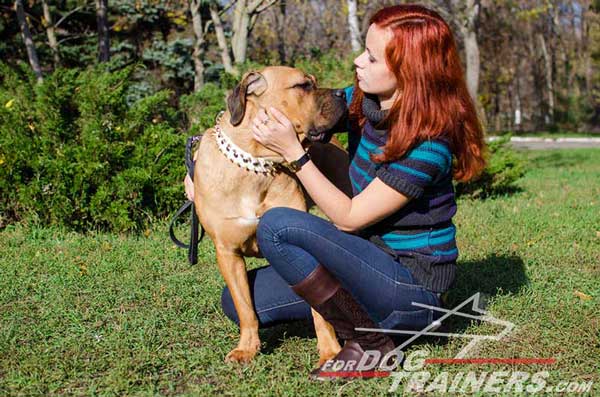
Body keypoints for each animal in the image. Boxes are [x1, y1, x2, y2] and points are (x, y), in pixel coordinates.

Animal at [192, 65, 352, 366]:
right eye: (303, 86)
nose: (342, 93)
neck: (256, 165)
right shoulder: (227, 252)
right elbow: (244, 307)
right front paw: (247, 348)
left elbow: (321, 309)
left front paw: (330, 351)